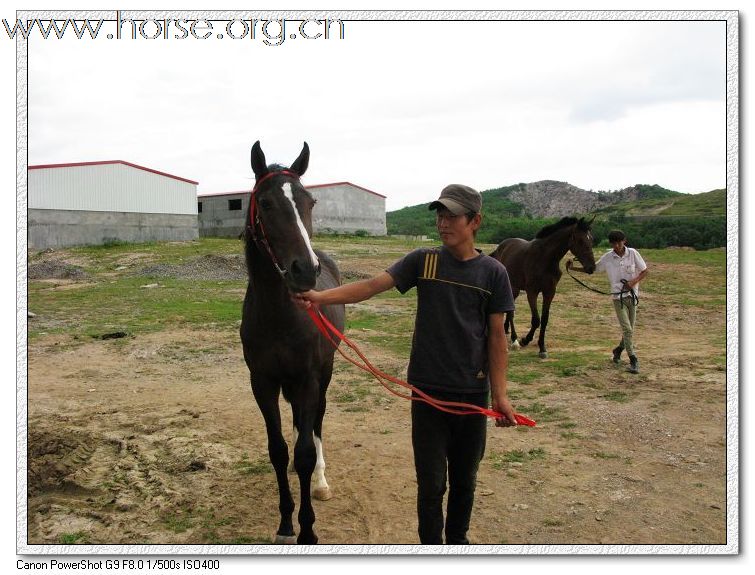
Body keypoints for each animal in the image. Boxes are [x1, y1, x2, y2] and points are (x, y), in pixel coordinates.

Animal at [239, 141, 346, 544]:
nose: (305, 270)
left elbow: (303, 453)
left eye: (309, 201)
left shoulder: (309, 379)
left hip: (324, 375)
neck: (280, 315)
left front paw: (308, 529)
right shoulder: (262, 383)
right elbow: (279, 451)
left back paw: (320, 482)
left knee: (316, 424)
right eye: (266, 203)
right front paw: (286, 522)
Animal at [490, 217, 596, 358]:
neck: (545, 258)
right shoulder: (532, 292)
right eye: (580, 240)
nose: (591, 267)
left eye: (591, 239)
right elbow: (536, 320)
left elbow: (545, 320)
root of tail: (501, 246)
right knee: (511, 313)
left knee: (509, 310)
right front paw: (525, 340)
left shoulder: (549, 292)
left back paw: (507, 330)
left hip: (514, 289)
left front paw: (542, 348)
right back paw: (514, 340)